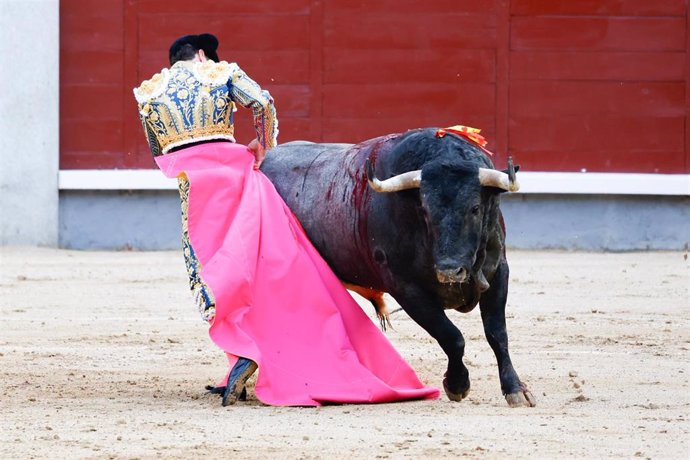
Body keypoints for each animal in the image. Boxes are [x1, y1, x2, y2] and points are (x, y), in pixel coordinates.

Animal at [260, 128, 536, 406]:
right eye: (425, 210)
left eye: (475, 208)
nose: (449, 271)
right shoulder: (406, 288)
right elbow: (451, 336)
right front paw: (457, 385)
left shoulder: (498, 272)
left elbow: (497, 333)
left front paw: (515, 389)